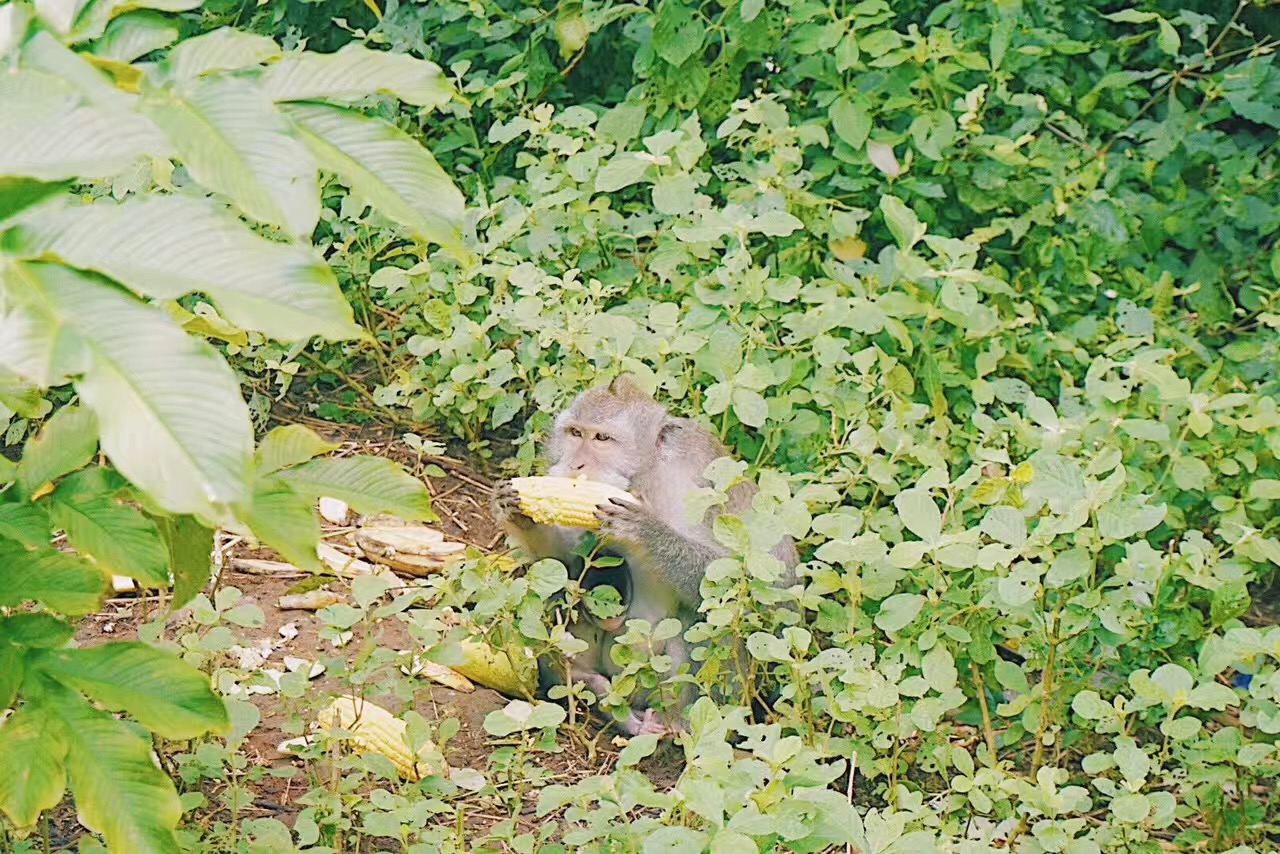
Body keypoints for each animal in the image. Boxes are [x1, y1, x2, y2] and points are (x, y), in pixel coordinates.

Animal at [486, 373, 793, 737]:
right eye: (575, 433)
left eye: (602, 438)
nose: (576, 464)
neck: (644, 475)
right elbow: (563, 561)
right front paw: (519, 512)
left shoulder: (693, 470)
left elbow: (750, 583)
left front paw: (645, 530)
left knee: (706, 620)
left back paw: (674, 724)